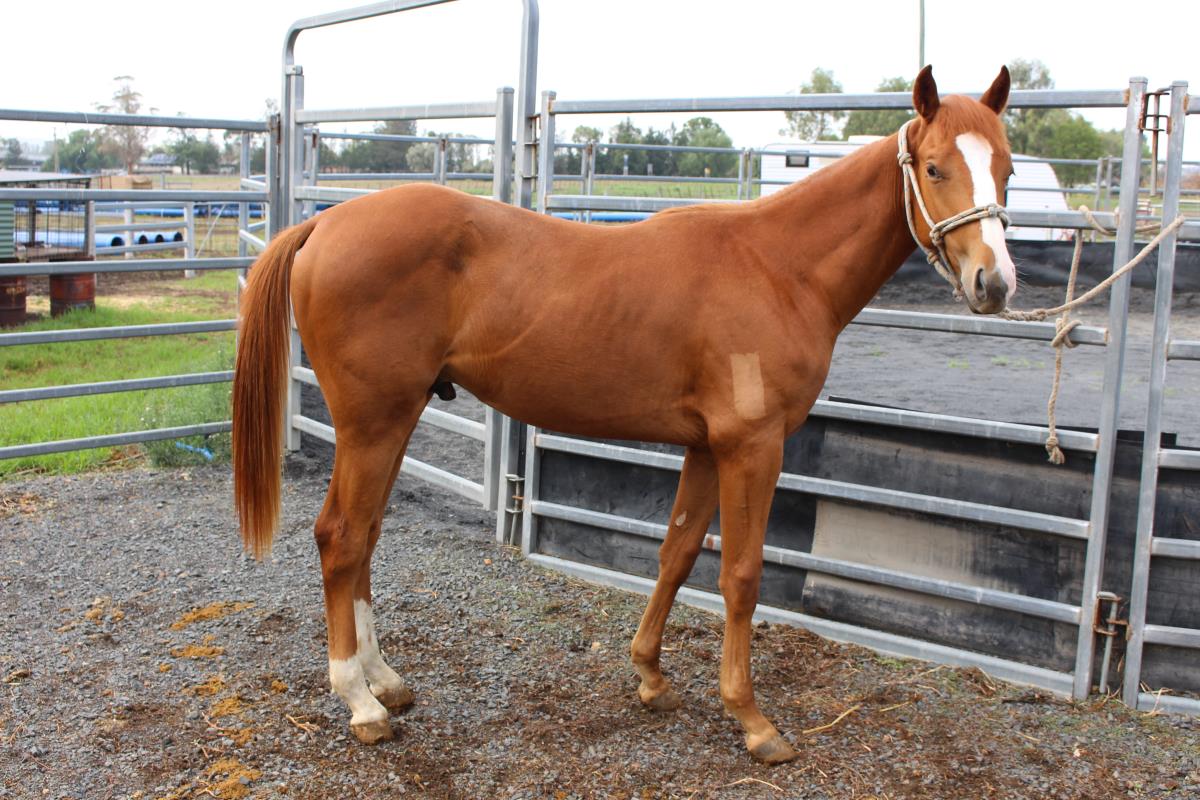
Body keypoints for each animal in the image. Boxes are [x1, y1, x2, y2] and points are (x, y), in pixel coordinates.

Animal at [232, 65, 1016, 764]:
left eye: (1006, 168)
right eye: (936, 168)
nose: (996, 282)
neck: (778, 267)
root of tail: (325, 225)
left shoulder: (707, 447)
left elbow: (676, 553)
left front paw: (650, 675)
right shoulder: (752, 447)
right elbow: (741, 575)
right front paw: (753, 720)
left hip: (394, 421)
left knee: (365, 536)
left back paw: (385, 681)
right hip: (373, 423)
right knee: (340, 538)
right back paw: (359, 702)